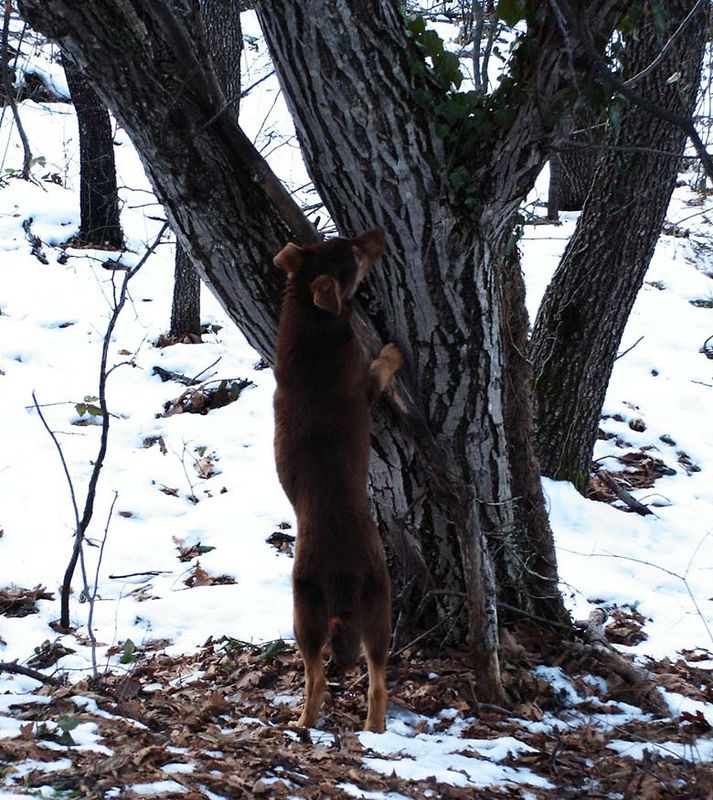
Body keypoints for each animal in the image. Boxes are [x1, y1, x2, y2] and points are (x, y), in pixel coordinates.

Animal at [272, 228, 402, 732]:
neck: (312, 323)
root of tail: (341, 576)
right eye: (356, 254)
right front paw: (391, 353)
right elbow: (379, 370)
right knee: (374, 682)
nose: (379, 234)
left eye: (340, 239)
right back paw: (371, 728)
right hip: (378, 607)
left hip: (305, 615)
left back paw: (305, 724)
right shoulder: (364, 390)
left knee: (318, 677)